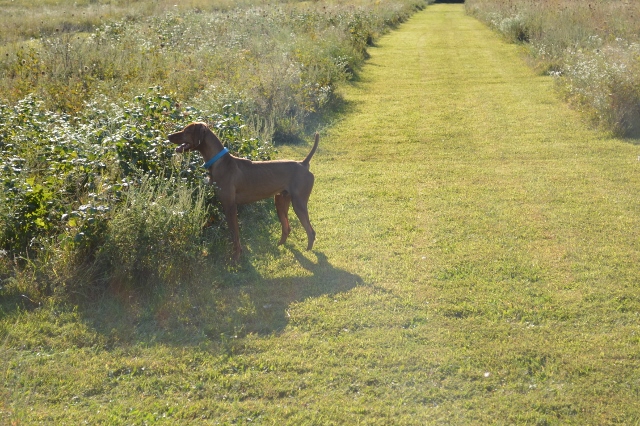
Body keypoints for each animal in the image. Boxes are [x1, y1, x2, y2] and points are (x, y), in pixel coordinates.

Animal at [166, 121, 318, 262]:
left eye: (187, 130)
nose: (168, 136)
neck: (219, 162)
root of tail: (303, 163)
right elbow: (233, 233)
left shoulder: (230, 207)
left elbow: (235, 235)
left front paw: (236, 257)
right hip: (280, 202)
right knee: (287, 228)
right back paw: (280, 245)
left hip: (299, 204)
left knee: (311, 231)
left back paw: (308, 251)